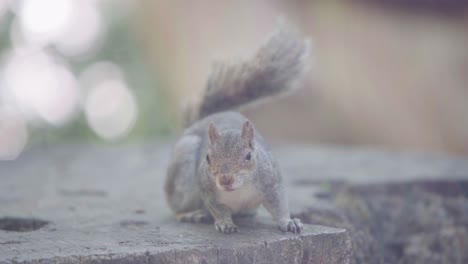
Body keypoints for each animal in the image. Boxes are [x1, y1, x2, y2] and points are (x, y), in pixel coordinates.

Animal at [165, 22, 310, 233]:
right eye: (207, 158)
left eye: (248, 156)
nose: (225, 179)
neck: (239, 190)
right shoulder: (206, 189)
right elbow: (217, 208)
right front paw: (225, 223)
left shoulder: (272, 182)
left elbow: (280, 204)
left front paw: (289, 221)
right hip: (184, 176)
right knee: (176, 207)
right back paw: (190, 214)